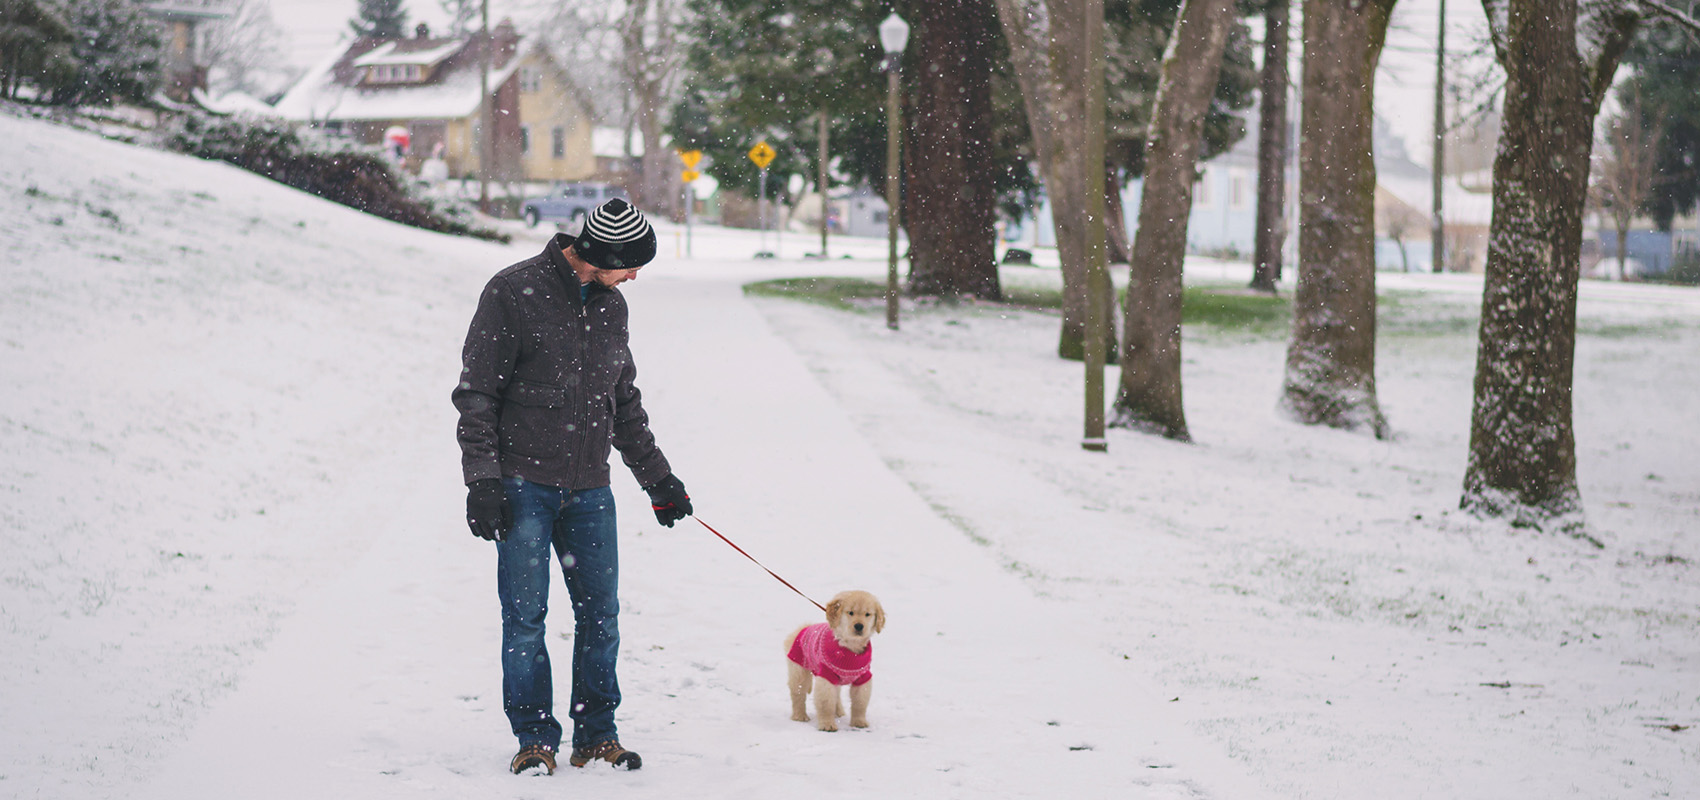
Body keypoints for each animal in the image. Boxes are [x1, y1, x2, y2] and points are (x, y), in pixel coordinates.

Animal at [785, 587, 890, 733]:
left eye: (867, 614)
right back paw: (800, 716)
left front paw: (859, 722)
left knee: (837, 694)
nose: (859, 626)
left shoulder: (863, 677)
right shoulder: (827, 675)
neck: (849, 647)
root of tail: (803, 629)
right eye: (850, 612)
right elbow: (826, 702)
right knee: (798, 692)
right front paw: (827, 724)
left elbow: (860, 702)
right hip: (799, 669)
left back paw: (839, 712)